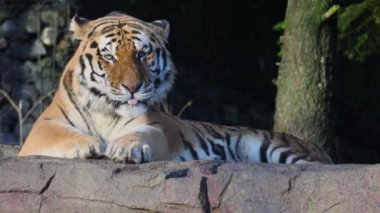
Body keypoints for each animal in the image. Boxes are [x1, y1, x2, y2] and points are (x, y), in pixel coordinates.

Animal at [19, 11, 332, 164]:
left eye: (142, 54)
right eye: (109, 56)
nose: (132, 87)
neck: (107, 111)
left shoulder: (155, 125)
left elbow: (140, 135)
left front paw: (124, 148)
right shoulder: (43, 125)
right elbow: (63, 134)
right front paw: (90, 145)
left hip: (278, 149)